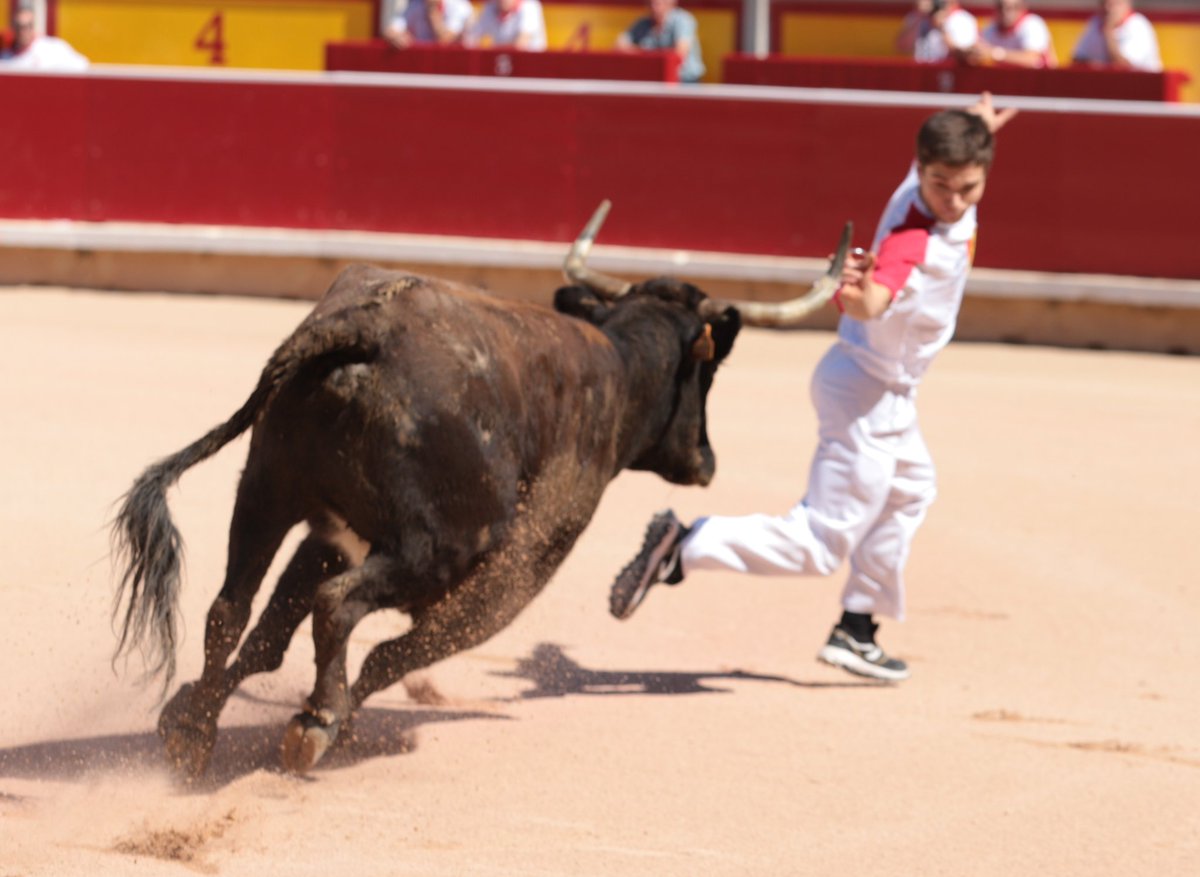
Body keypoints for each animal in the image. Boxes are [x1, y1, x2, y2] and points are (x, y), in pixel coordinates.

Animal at [111, 201, 849, 779]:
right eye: (711, 371)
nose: (707, 460)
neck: (615, 369)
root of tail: (367, 331)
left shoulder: (329, 534)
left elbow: (272, 635)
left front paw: (186, 713)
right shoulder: (515, 575)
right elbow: (395, 651)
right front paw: (328, 717)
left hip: (265, 491)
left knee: (230, 608)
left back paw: (196, 734)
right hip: (437, 549)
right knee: (337, 606)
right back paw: (313, 725)